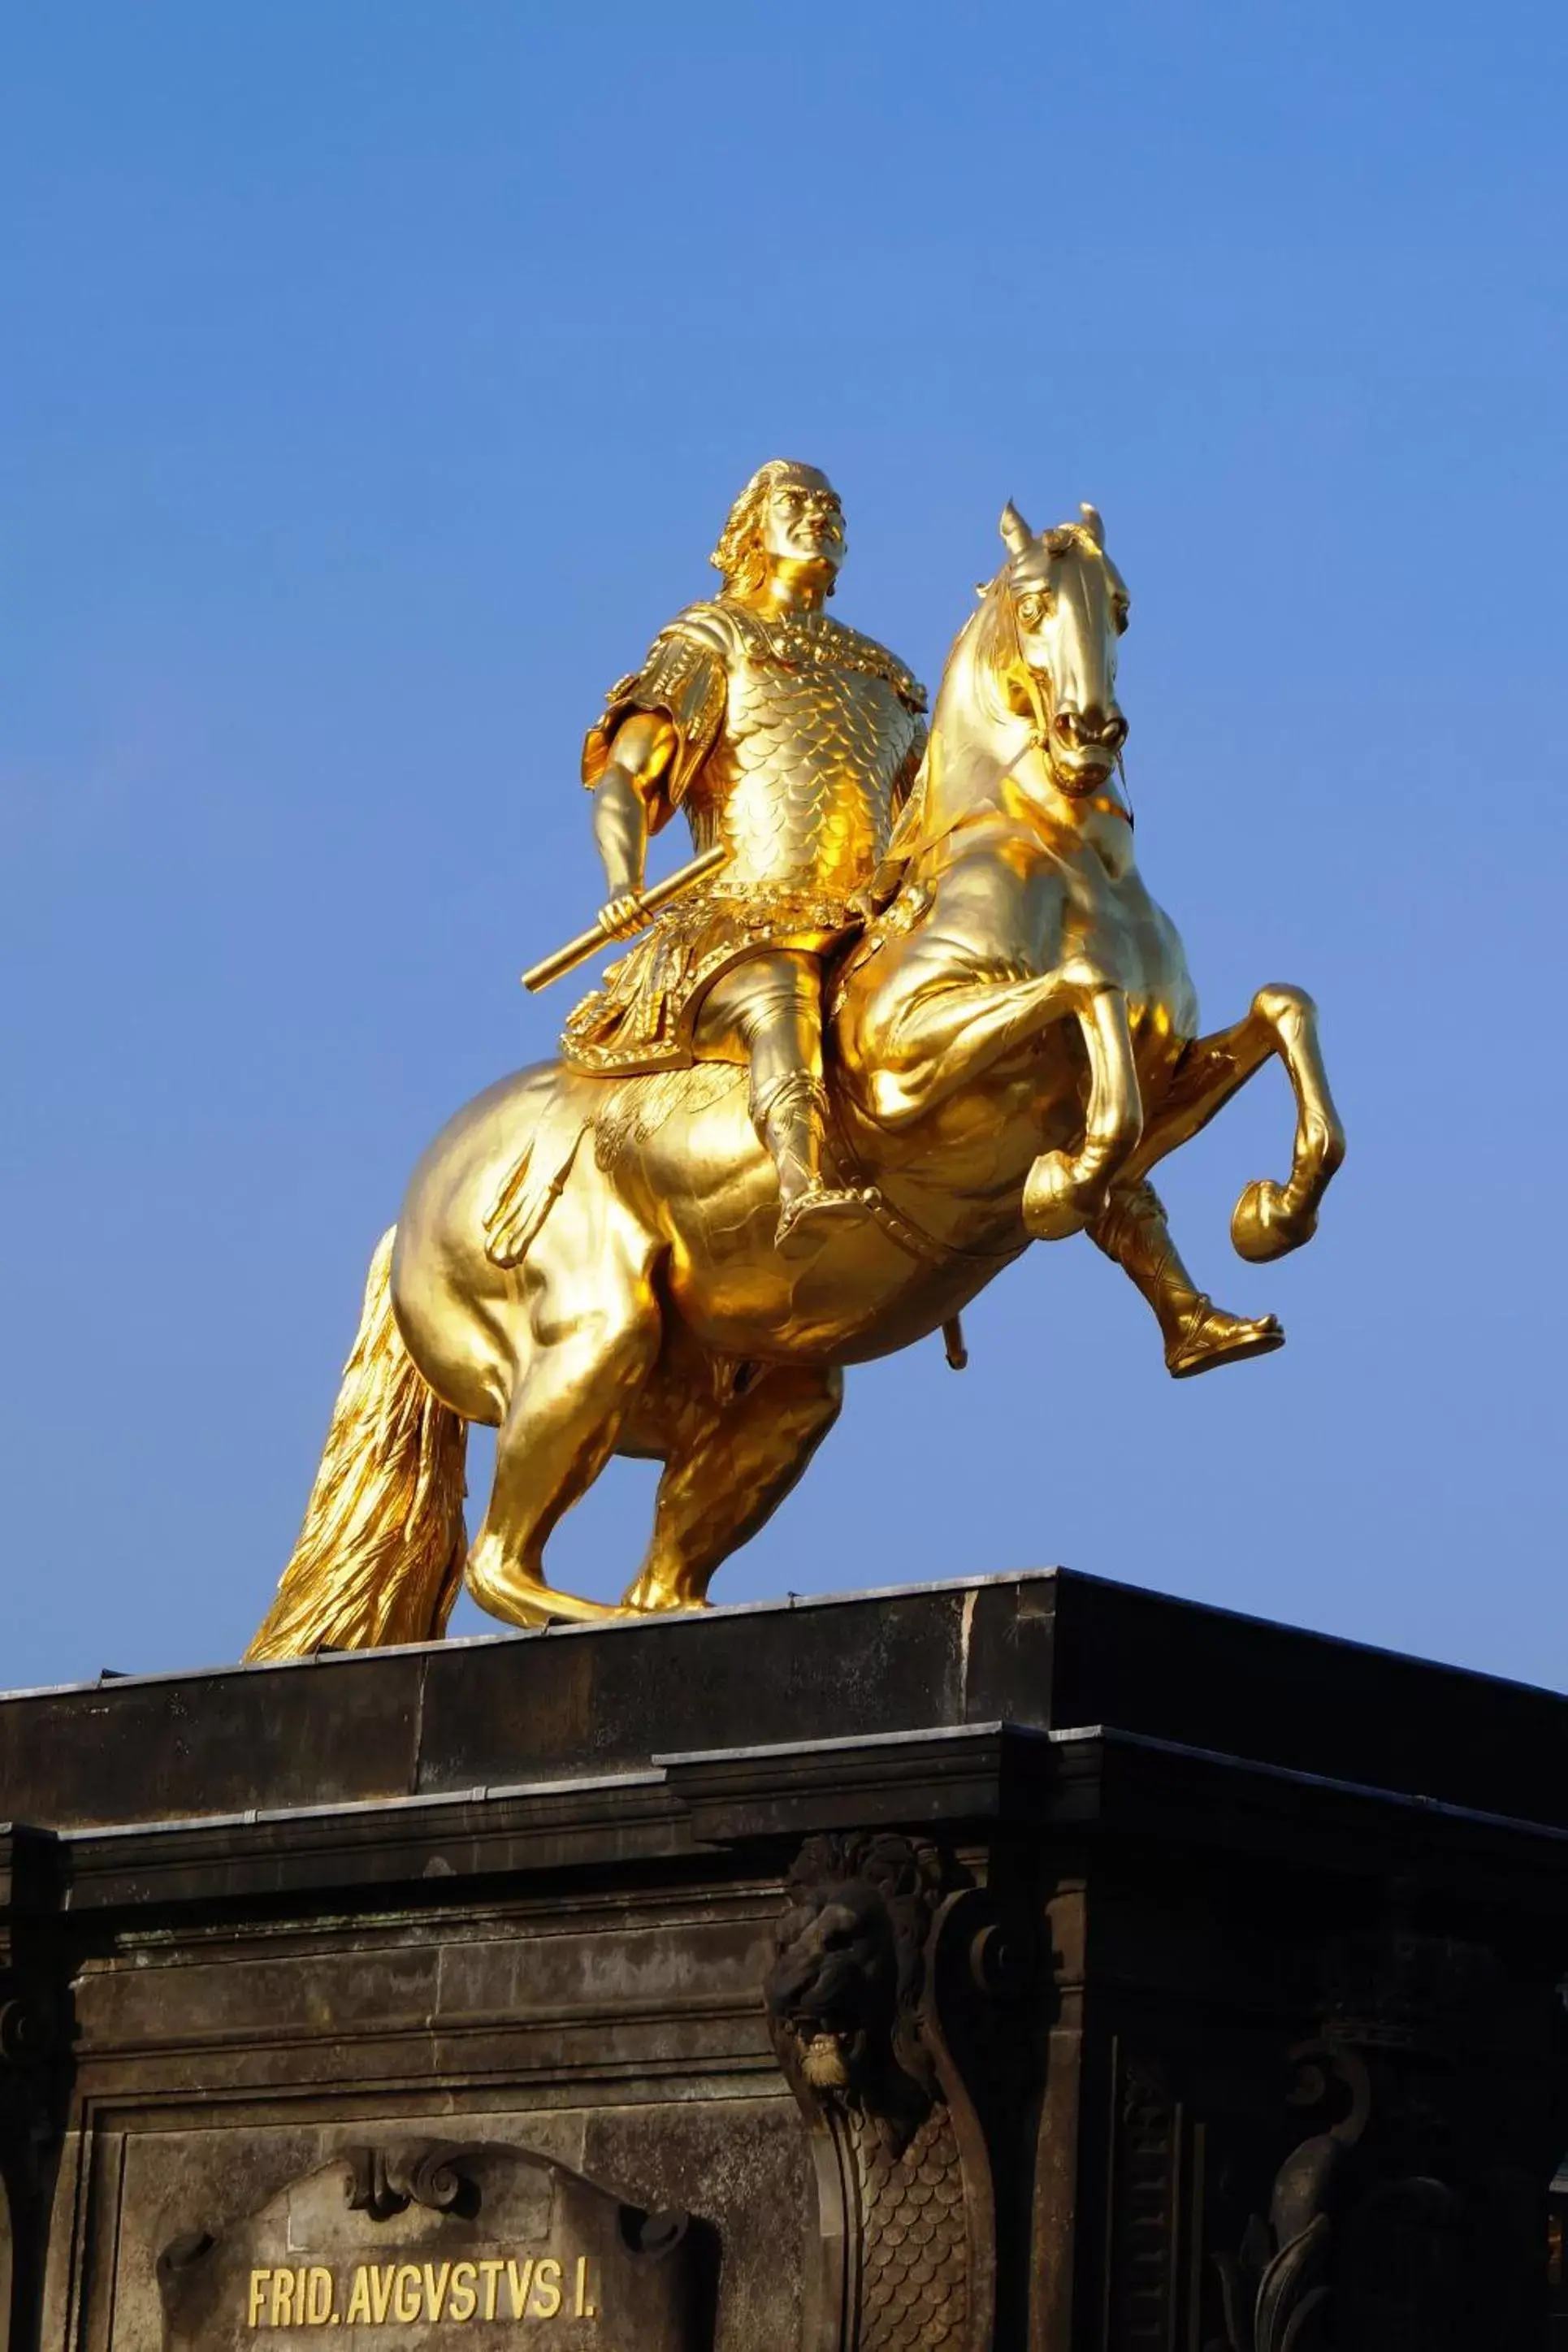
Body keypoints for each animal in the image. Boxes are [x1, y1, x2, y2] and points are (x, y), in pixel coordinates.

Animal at [251, 505, 1345, 1665]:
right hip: (589, 1340)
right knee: (501, 1566)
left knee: (655, 1570)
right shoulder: (909, 1068)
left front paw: (1268, 1220)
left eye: (1122, 606)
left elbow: (1274, 1015)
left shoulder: (1167, 1070)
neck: (1054, 860)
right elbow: (1082, 1003)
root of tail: (409, 1215)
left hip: (774, 1392)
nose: (1090, 730)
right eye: (1035, 605)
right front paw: (1064, 1181)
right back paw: (603, 1621)